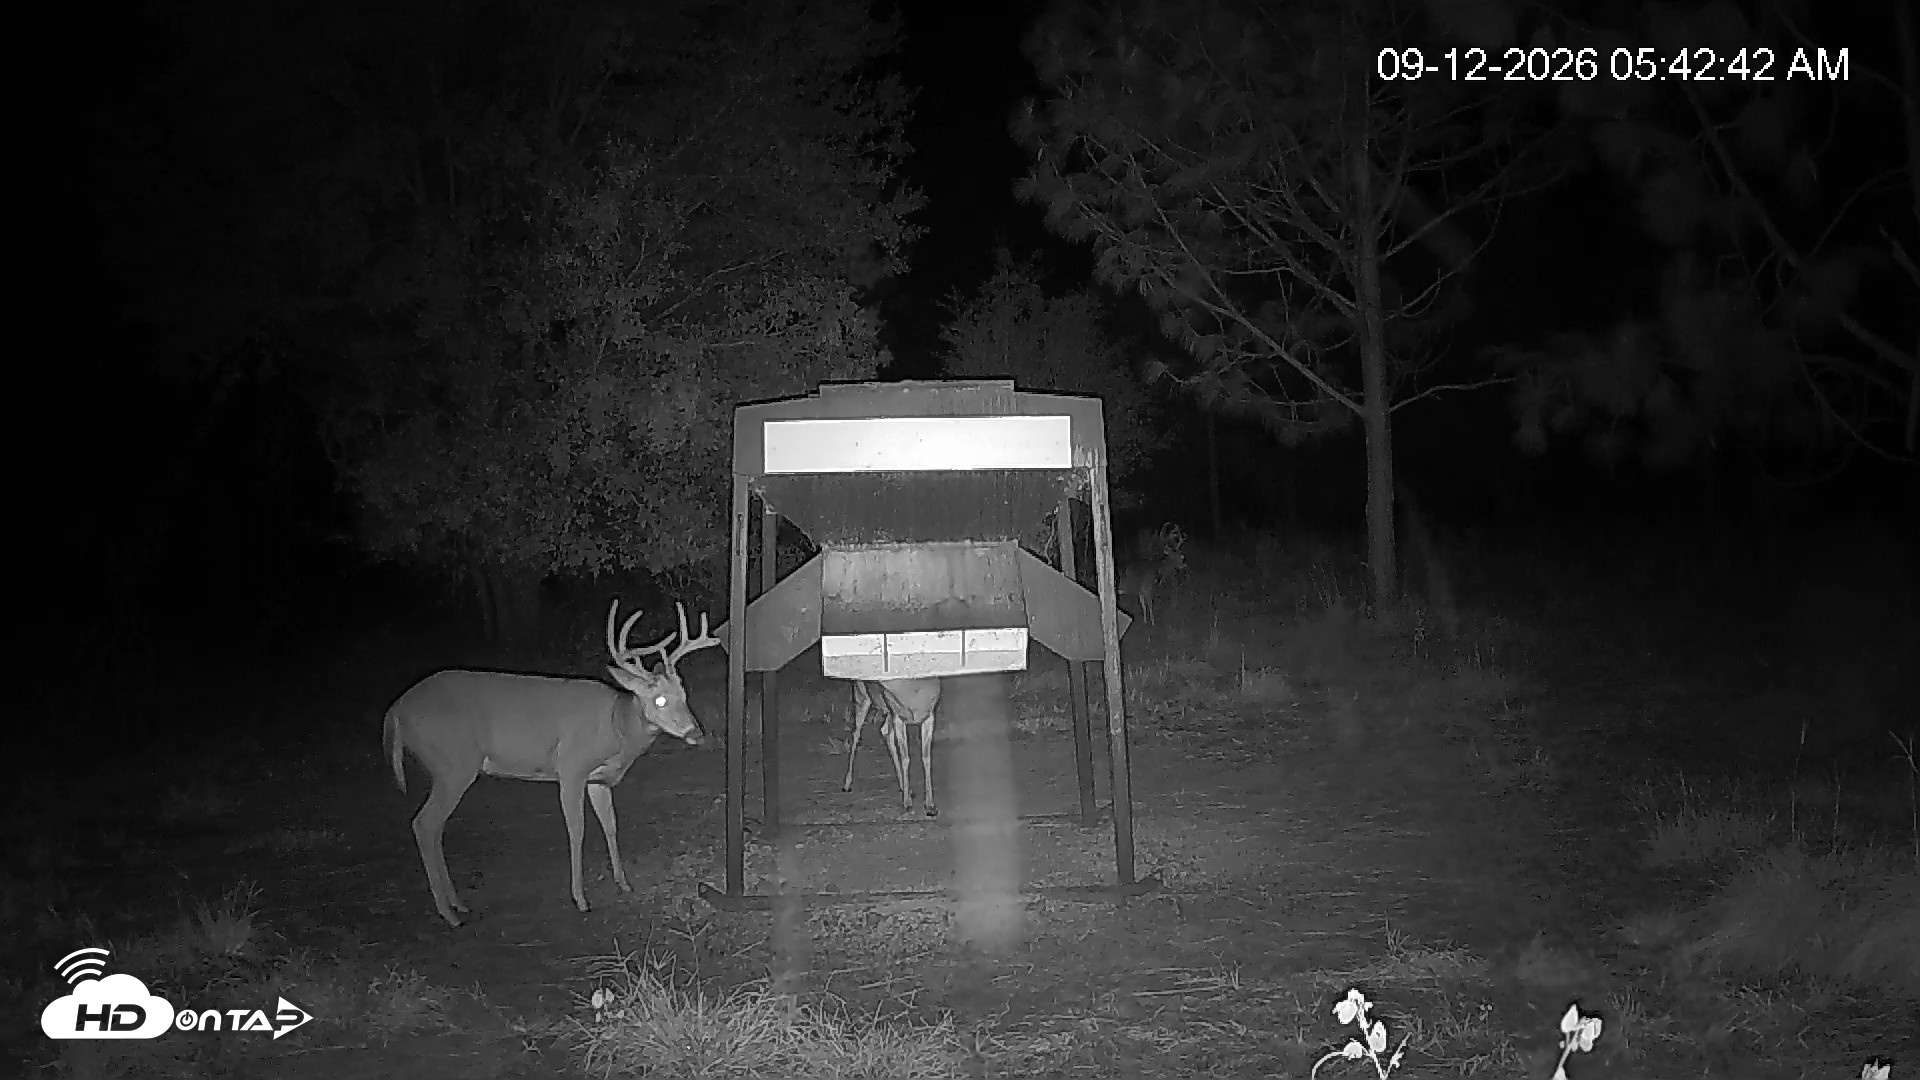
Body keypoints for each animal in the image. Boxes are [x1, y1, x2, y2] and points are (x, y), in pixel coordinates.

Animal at [383, 599, 720, 928]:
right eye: (659, 700)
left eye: (684, 694)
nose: (696, 733)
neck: (616, 726)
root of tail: (395, 711)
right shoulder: (571, 766)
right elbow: (577, 829)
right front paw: (581, 899)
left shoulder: (598, 779)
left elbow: (610, 825)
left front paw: (624, 884)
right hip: (454, 763)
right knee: (424, 824)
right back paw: (449, 913)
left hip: (448, 768)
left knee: (433, 827)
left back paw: (457, 904)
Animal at [841, 678, 942, 817]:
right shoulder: (898, 717)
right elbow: (905, 759)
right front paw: (907, 804)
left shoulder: (929, 717)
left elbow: (926, 759)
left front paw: (930, 806)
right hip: (862, 697)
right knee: (856, 735)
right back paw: (847, 784)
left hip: (888, 711)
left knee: (885, 731)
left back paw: (905, 788)